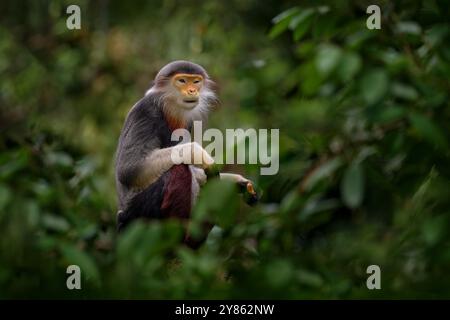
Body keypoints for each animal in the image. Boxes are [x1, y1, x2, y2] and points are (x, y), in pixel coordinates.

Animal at [114, 60, 258, 248]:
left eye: (196, 82)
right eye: (182, 81)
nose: (192, 90)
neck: (168, 109)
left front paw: (237, 181)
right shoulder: (145, 112)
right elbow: (128, 169)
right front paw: (197, 153)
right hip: (137, 215)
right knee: (179, 169)